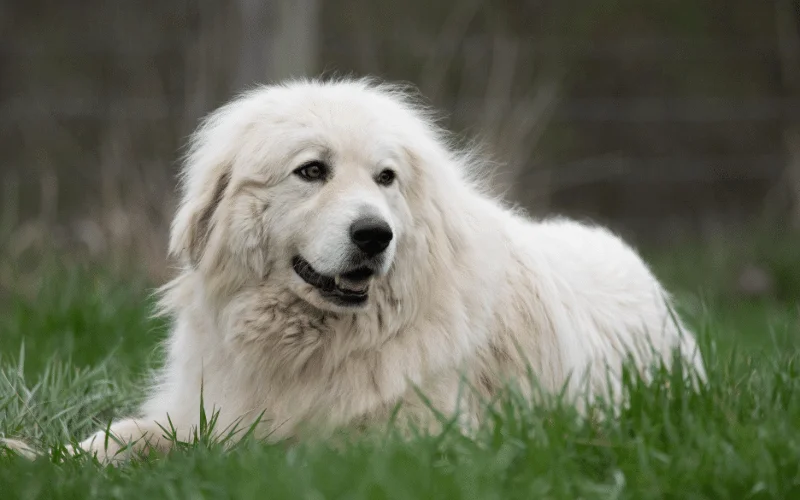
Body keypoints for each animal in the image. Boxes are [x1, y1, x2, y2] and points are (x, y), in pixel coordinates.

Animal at [3, 78, 704, 464]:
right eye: (312, 170)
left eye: (385, 178)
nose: (375, 234)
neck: (314, 347)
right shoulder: (202, 405)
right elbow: (117, 437)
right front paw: (37, 458)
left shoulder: (413, 438)